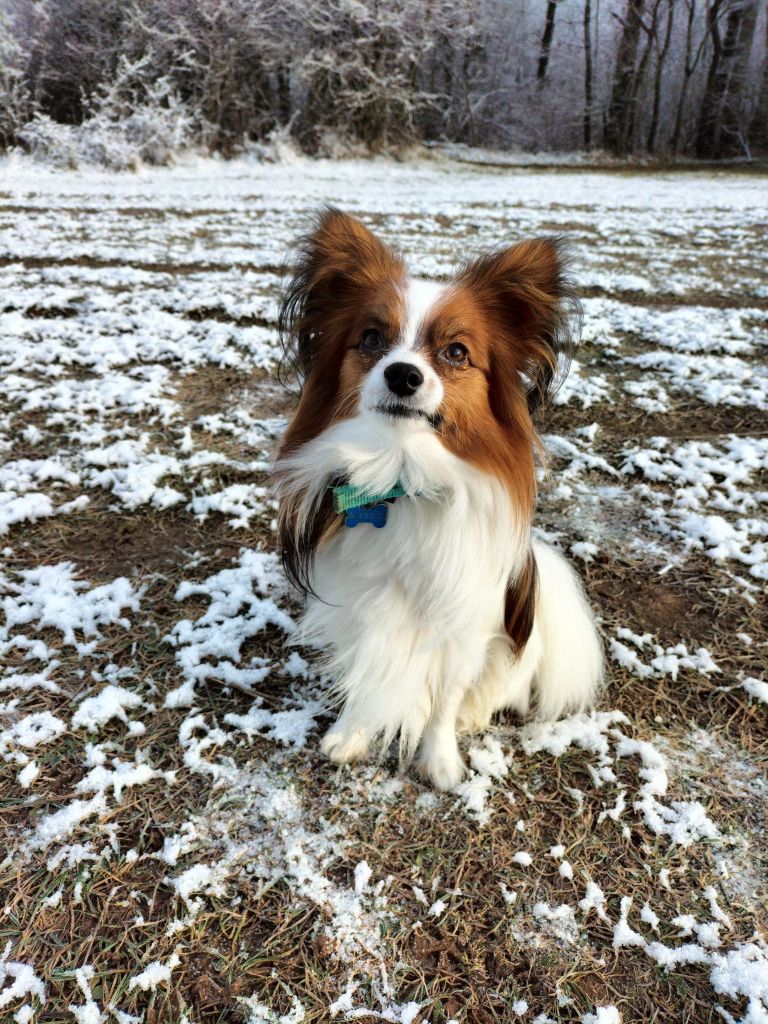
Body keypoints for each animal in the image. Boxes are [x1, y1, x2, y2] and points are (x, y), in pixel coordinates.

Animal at [274, 203, 606, 786]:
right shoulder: (359, 603)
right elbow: (367, 670)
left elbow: (445, 698)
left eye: (455, 352)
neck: (402, 479)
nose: (403, 375)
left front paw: (440, 761)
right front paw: (351, 734)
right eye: (371, 339)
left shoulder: (465, 628)